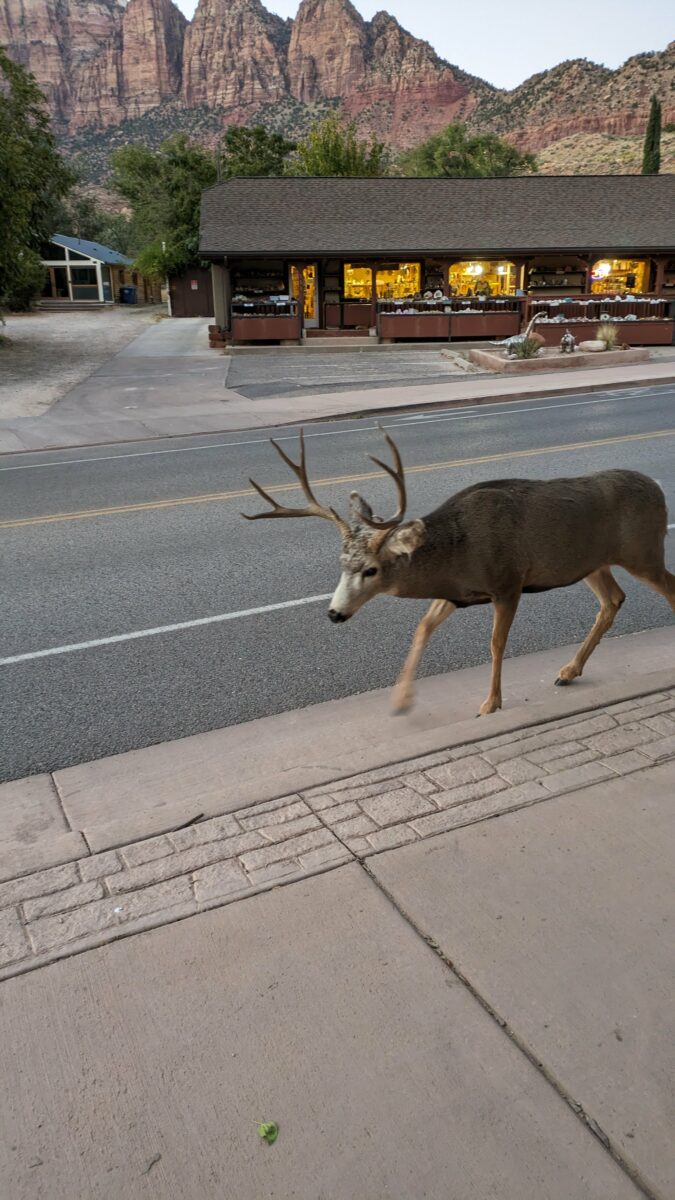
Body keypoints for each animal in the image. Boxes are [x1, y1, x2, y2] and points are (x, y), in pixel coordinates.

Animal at [243, 427, 674, 717]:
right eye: (340, 564)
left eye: (371, 569)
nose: (334, 613)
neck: (459, 554)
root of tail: (658, 488)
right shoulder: (455, 594)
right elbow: (423, 628)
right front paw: (401, 700)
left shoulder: (508, 582)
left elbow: (496, 643)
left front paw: (490, 703)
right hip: (591, 562)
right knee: (613, 599)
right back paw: (568, 671)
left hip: (643, 551)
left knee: (668, 587)